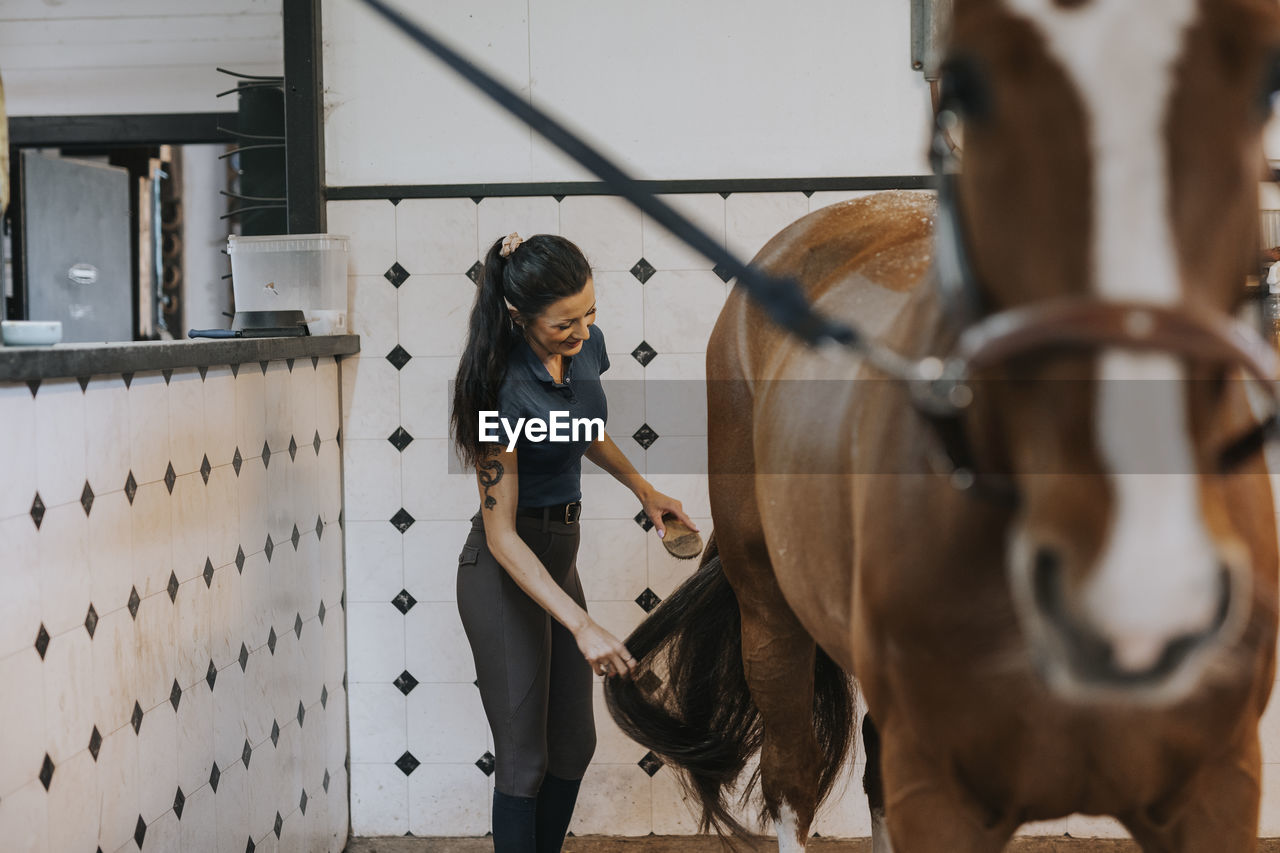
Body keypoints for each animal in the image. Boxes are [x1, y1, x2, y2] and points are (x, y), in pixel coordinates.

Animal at [604, 0, 1280, 845]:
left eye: (1260, 86)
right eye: (968, 87)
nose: (1148, 582)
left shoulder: (1219, 784)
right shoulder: (943, 788)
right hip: (771, 618)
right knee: (793, 775)